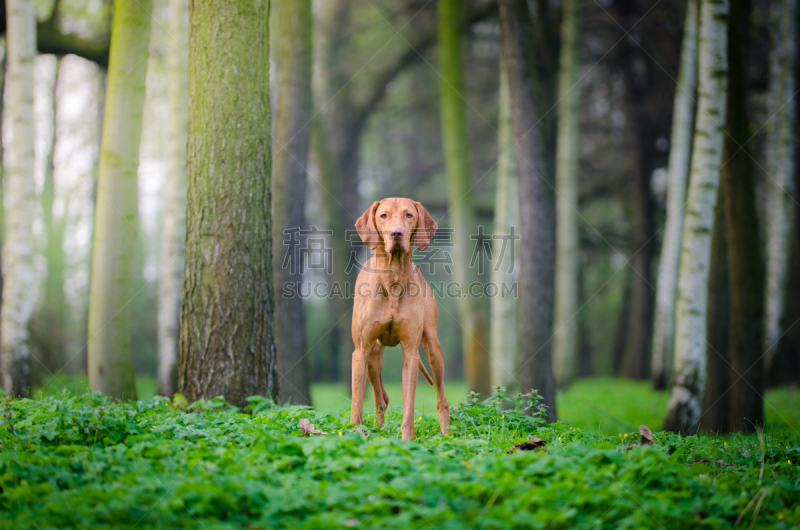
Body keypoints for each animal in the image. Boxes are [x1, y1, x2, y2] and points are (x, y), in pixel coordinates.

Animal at [352, 197, 450, 438]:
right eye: (383, 216)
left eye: (409, 215)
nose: (396, 233)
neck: (393, 278)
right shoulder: (360, 351)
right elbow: (356, 402)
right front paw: (354, 431)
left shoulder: (411, 353)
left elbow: (409, 405)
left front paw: (407, 439)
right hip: (373, 356)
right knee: (381, 398)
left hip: (433, 348)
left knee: (442, 398)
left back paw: (447, 435)